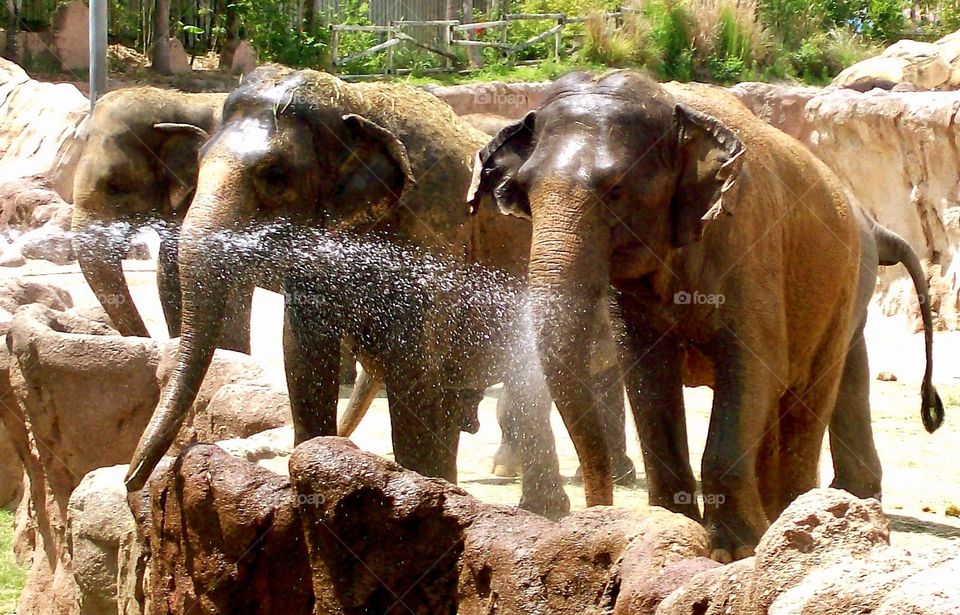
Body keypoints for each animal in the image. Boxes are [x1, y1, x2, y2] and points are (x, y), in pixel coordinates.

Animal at [123, 67, 599, 520]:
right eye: (199, 161)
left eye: (274, 176)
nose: (131, 481)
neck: (357, 103)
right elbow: (302, 355)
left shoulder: (434, 226)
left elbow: (415, 370)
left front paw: (429, 501)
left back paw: (542, 510)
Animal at [468, 70, 945, 562]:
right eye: (526, 193)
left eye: (616, 191)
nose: (594, 516)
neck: (676, 109)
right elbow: (647, 378)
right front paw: (669, 527)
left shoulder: (748, 243)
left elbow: (753, 365)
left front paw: (734, 550)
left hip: (842, 286)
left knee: (809, 393)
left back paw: (806, 519)